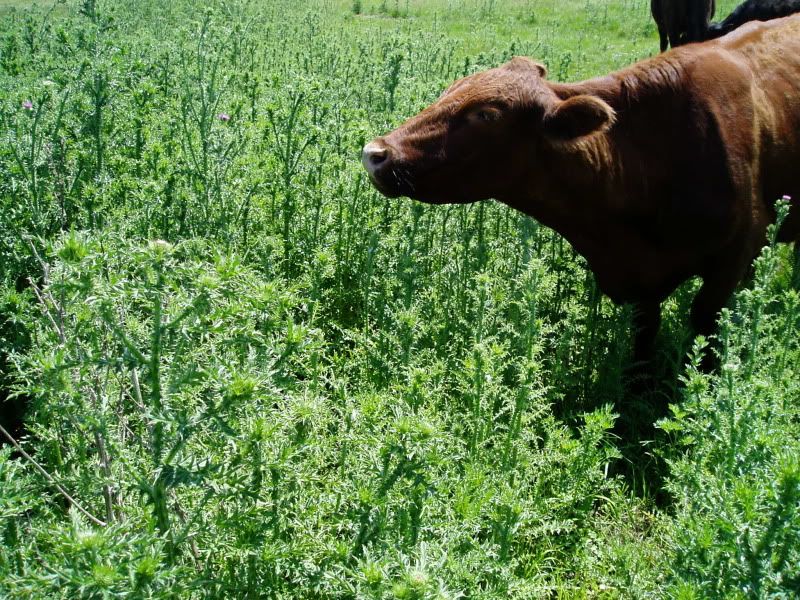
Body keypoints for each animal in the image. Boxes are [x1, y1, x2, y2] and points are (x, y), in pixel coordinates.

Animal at [362, 16, 800, 368]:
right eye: (451, 89)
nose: (375, 153)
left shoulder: (736, 256)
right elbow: (644, 339)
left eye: (486, 114)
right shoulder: (639, 284)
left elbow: (707, 330)